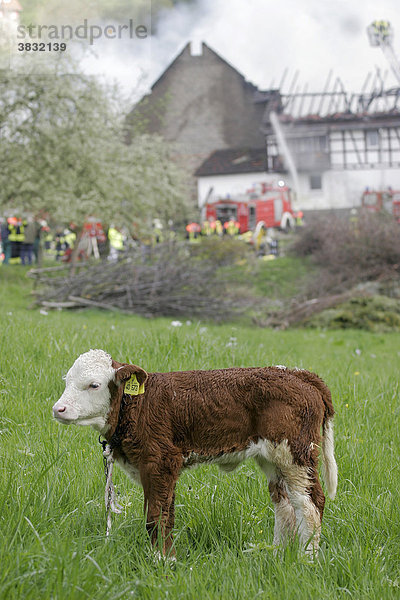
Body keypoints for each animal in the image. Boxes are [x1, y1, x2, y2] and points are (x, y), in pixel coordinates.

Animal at [51, 350, 336, 556]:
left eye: (94, 385)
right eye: (66, 382)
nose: (58, 409)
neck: (139, 405)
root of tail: (297, 373)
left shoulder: (161, 461)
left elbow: (157, 516)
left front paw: (162, 561)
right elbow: (165, 513)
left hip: (296, 453)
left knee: (309, 504)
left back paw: (306, 560)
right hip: (272, 457)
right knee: (284, 504)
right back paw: (276, 555)